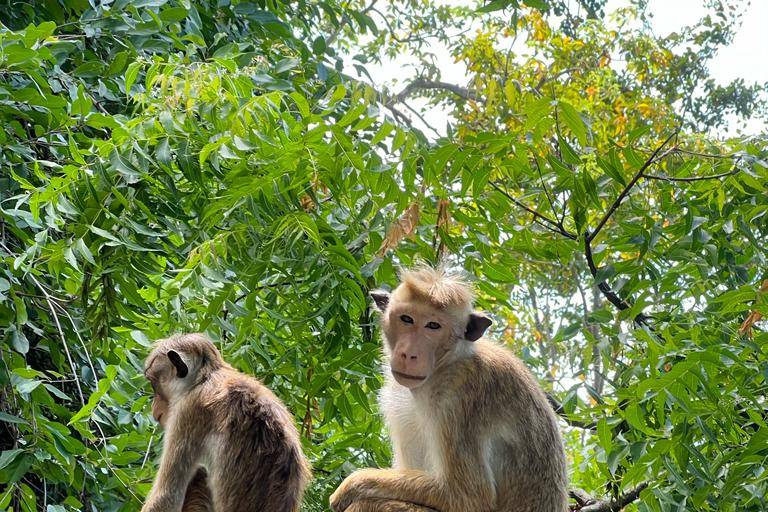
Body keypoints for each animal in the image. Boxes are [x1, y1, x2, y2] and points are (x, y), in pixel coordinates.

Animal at [332, 268, 568, 512]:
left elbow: (468, 495)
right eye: (406, 319)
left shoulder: (461, 396)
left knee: (368, 503)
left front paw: (350, 486)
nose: (409, 353)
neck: (444, 366)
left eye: (433, 326)